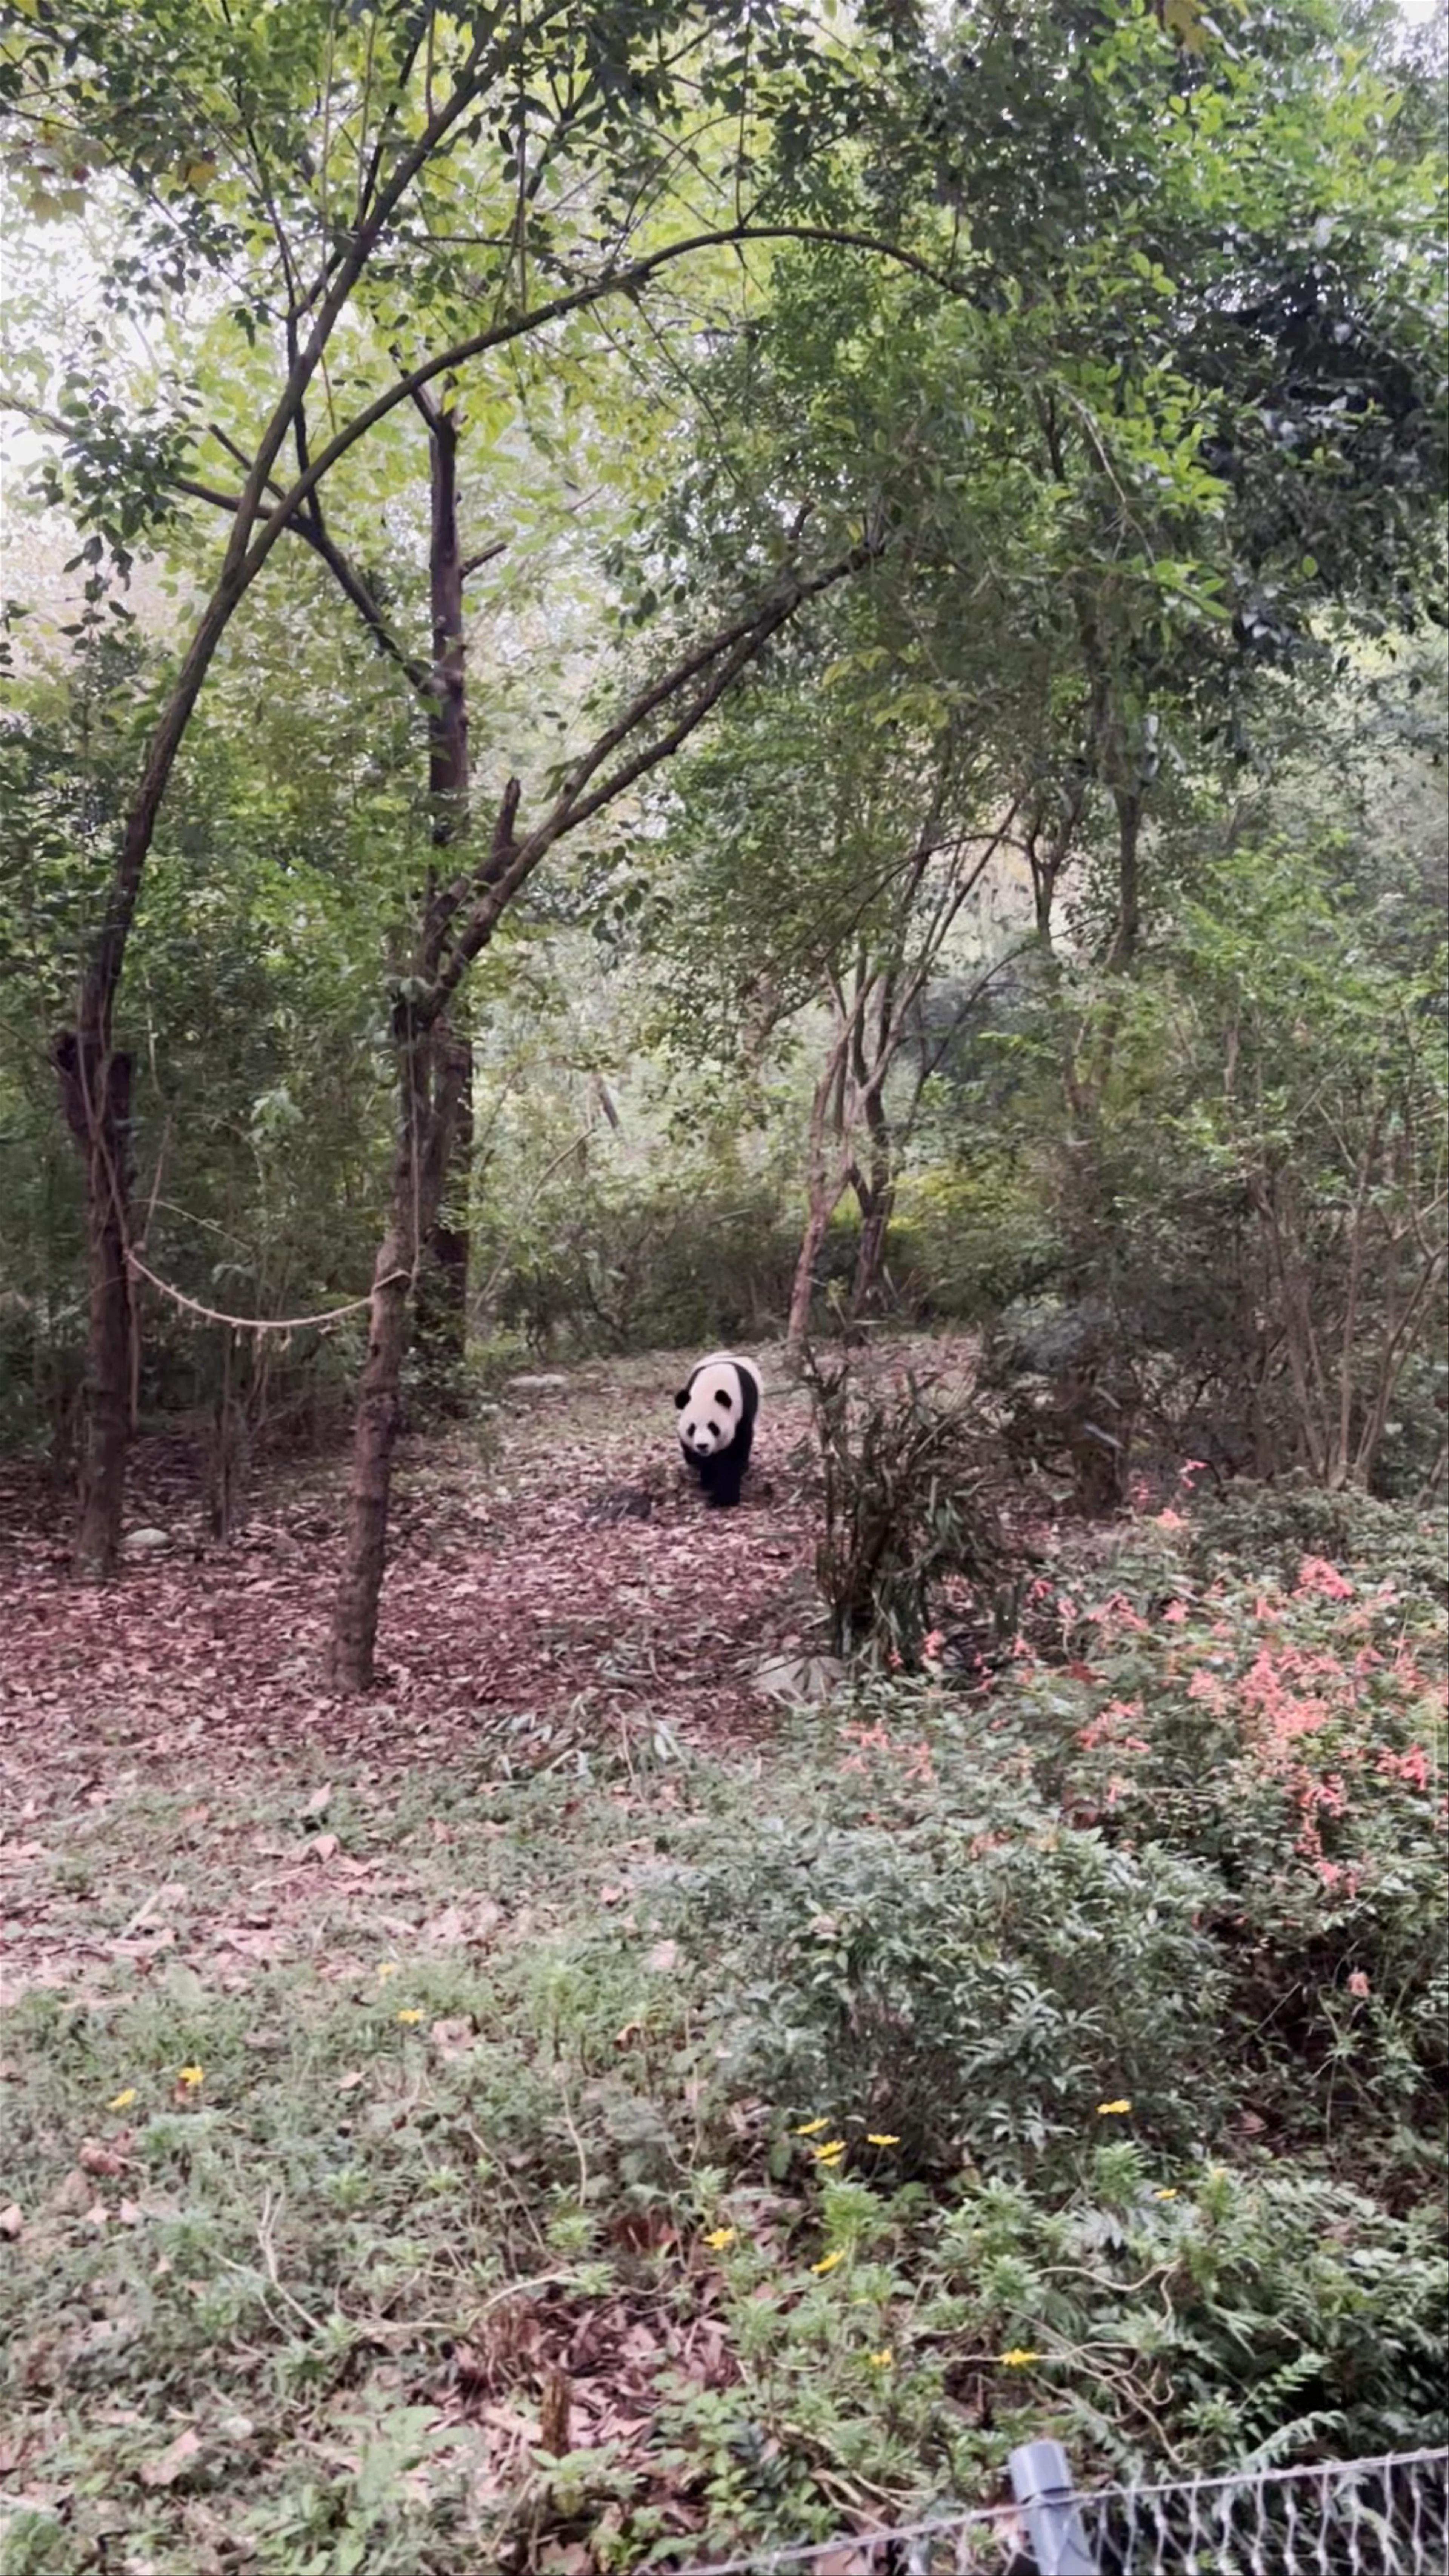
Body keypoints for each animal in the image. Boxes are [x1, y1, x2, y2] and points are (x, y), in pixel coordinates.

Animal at [674, 1352, 762, 1509]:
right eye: (692, 1428)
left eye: (713, 1427)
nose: (702, 1446)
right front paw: (709, 1479)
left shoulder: (742, 1414)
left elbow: (734, 1455)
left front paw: (724, 1498)